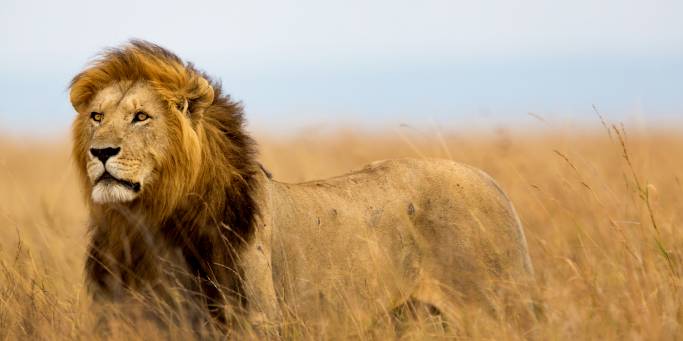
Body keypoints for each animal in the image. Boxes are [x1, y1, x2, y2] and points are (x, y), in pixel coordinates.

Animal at [69, 40, 540, 334]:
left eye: (140, 117)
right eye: (96, 116)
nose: (101, 152)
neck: (149, 222)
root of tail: (491, 182)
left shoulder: (254, 319)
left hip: (498, 307)